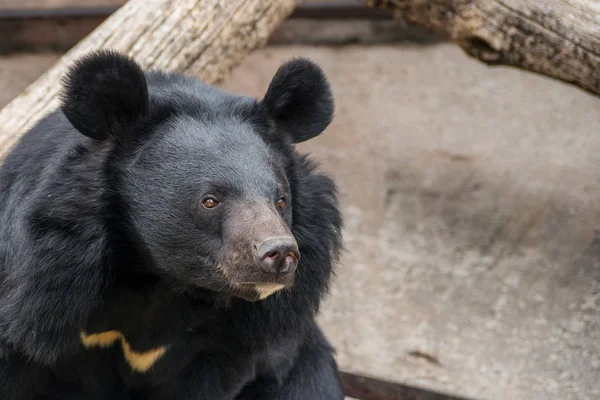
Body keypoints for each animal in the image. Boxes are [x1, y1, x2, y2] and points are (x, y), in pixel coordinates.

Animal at [0, 50, 342, 400]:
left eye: (281, 200)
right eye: (210, 200)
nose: (279, 253)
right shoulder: (47, 288)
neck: (153, 278)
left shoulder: (225, 342)